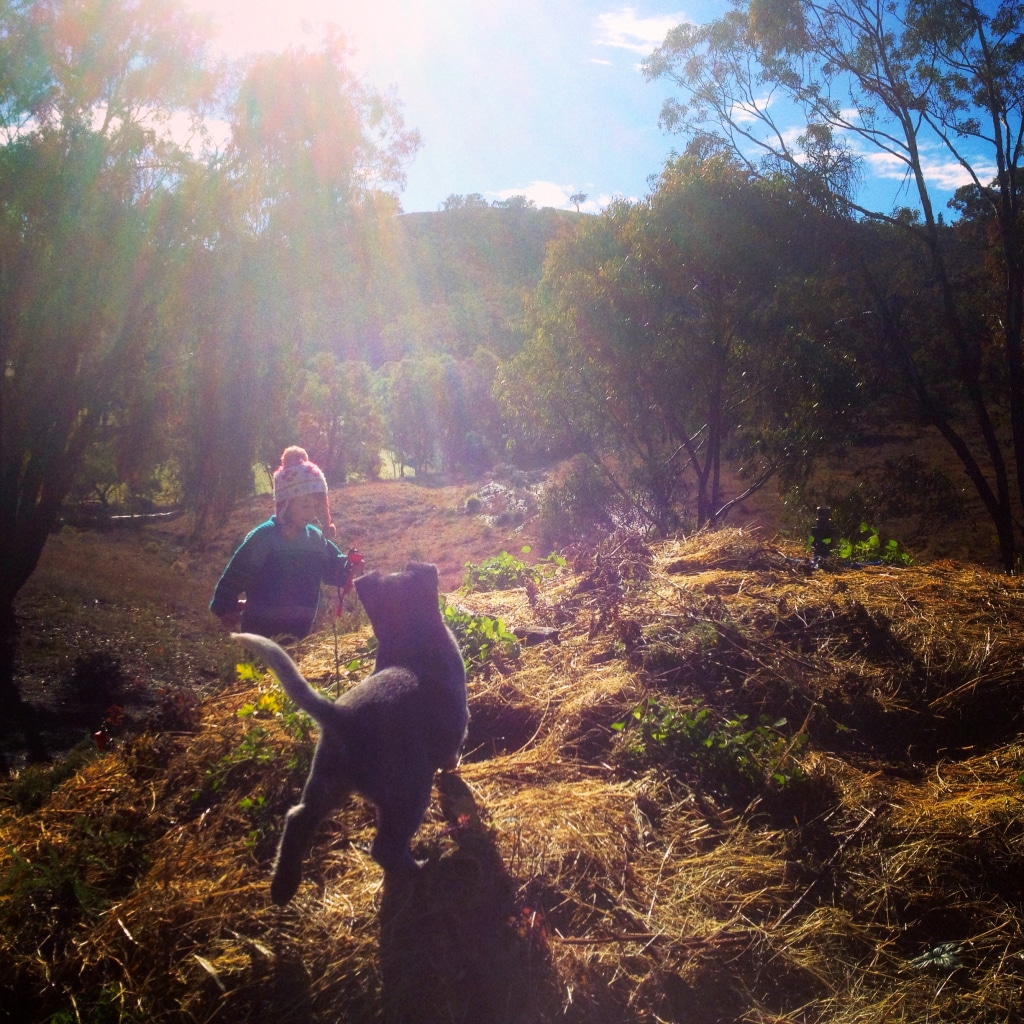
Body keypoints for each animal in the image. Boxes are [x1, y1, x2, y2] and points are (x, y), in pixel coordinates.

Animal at [233, 561, 468, 905]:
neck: (412, 639)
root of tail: (340, 717)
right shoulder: (457, 726)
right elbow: (452, 758)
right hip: (408, 791)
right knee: (385, 847)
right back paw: (421, 868)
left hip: (326, 783)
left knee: (297, 818)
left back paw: (283, 886)